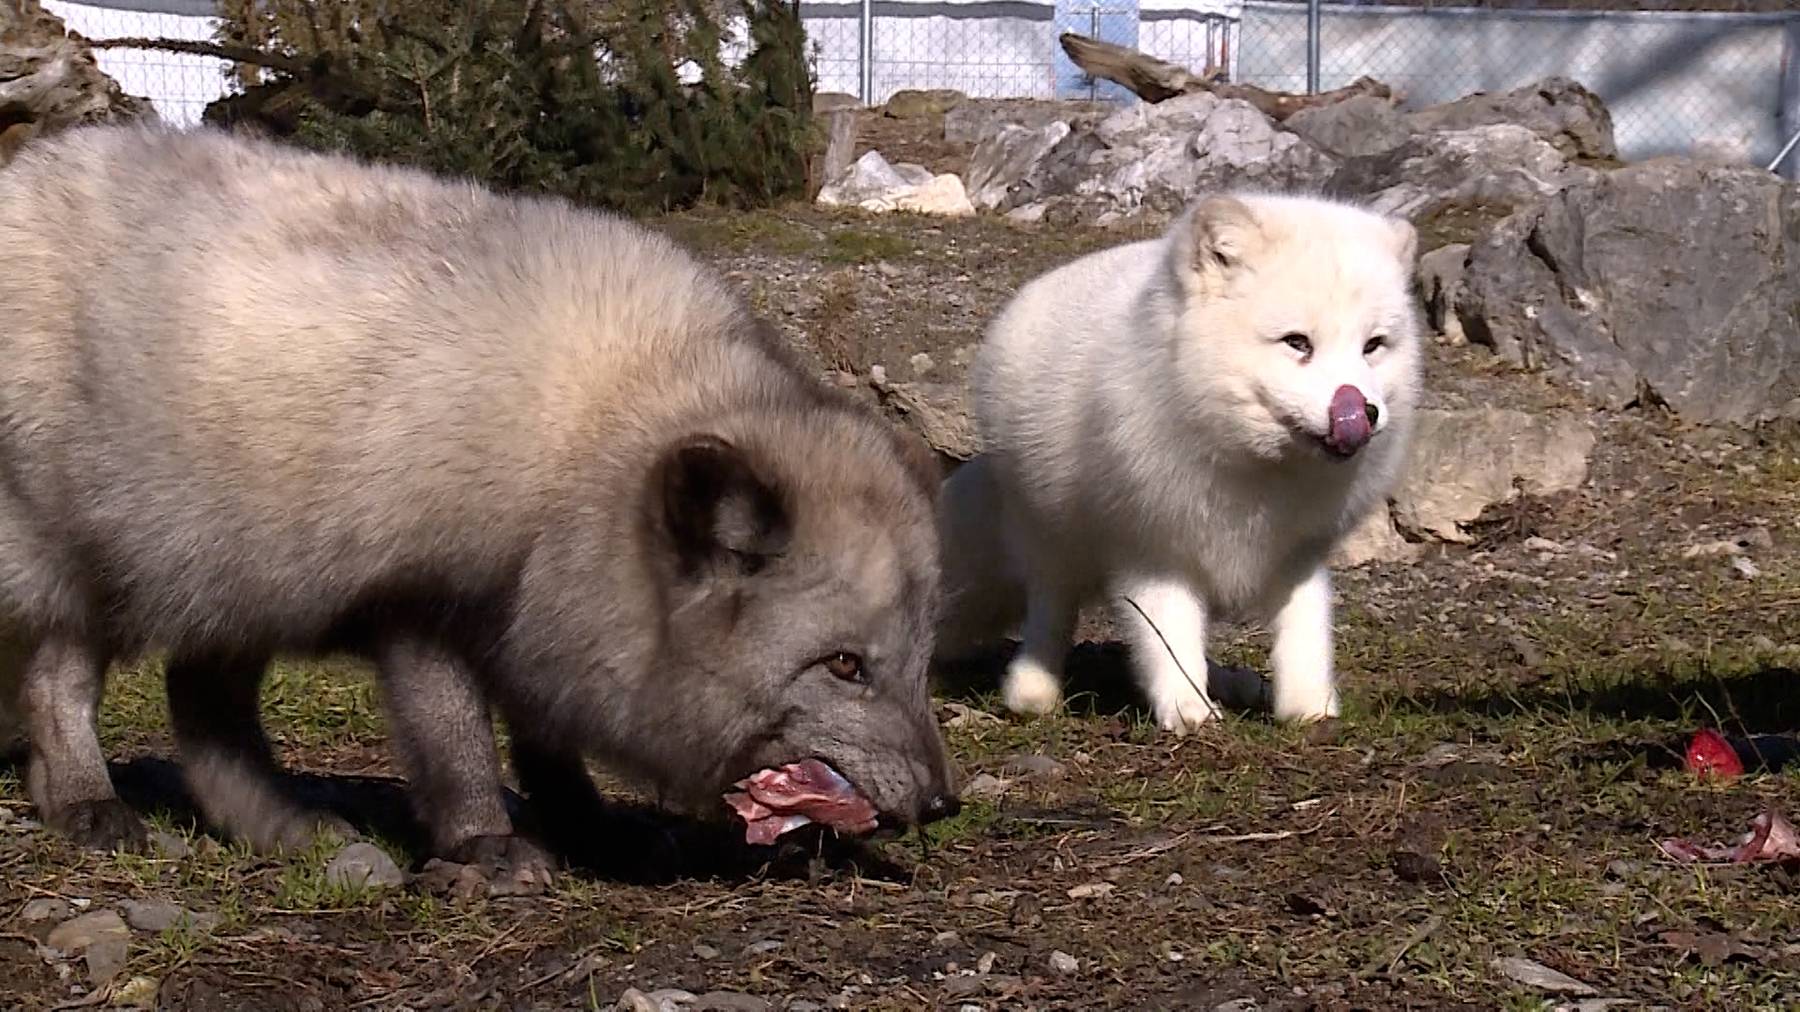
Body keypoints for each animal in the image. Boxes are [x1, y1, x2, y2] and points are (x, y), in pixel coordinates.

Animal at [0, 122, 957, 871]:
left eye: (918, 658)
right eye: (844, 665)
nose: (945, 803)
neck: (592, 436)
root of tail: (26, 168)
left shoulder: (545, 614)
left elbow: (547, 744)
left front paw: (589, 828)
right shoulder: (422, 599)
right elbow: (455, 737)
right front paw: (483, 844)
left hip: (242, 576)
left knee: (201, 710)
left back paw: (276, 826)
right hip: (86, 559)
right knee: (56, 682)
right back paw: (83, 800)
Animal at [936, 190, 1425, 723]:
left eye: (1373, 346)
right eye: (1297, 342)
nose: (1364, 413)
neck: (1256, 471)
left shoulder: (1297, 552)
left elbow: (1305, 630)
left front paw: (1309, 708)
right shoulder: (1153, 551)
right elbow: (1167, 635)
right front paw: (1188, 709)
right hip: (1049, 537)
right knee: (1049, 612)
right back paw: (1033, 691)